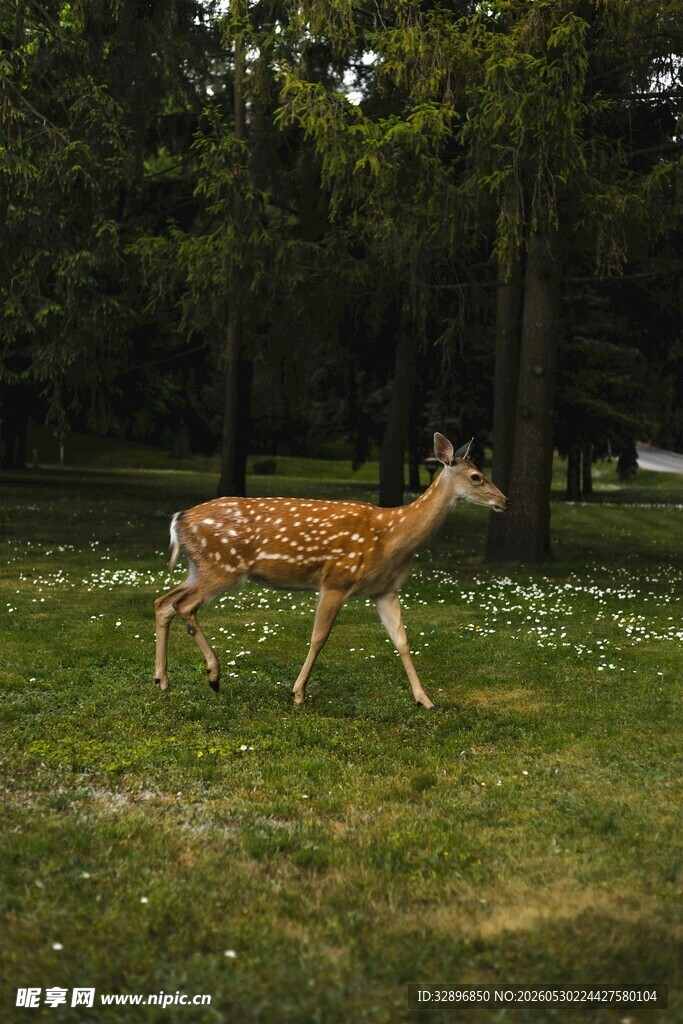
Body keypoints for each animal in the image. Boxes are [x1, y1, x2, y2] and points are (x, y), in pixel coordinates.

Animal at [154, 433, 509, 709]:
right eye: (476, 477)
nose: (505, 501)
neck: (392, 536)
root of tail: (178, 519)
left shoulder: (385, 589)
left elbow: (402, 640)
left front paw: (425, 699)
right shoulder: (336, 580)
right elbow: (319, 637)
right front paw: (298, 693)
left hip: (200, 567)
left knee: (164, 602)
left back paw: (162, 680)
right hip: (222, 566)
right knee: (183, 605)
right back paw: (213, 675)